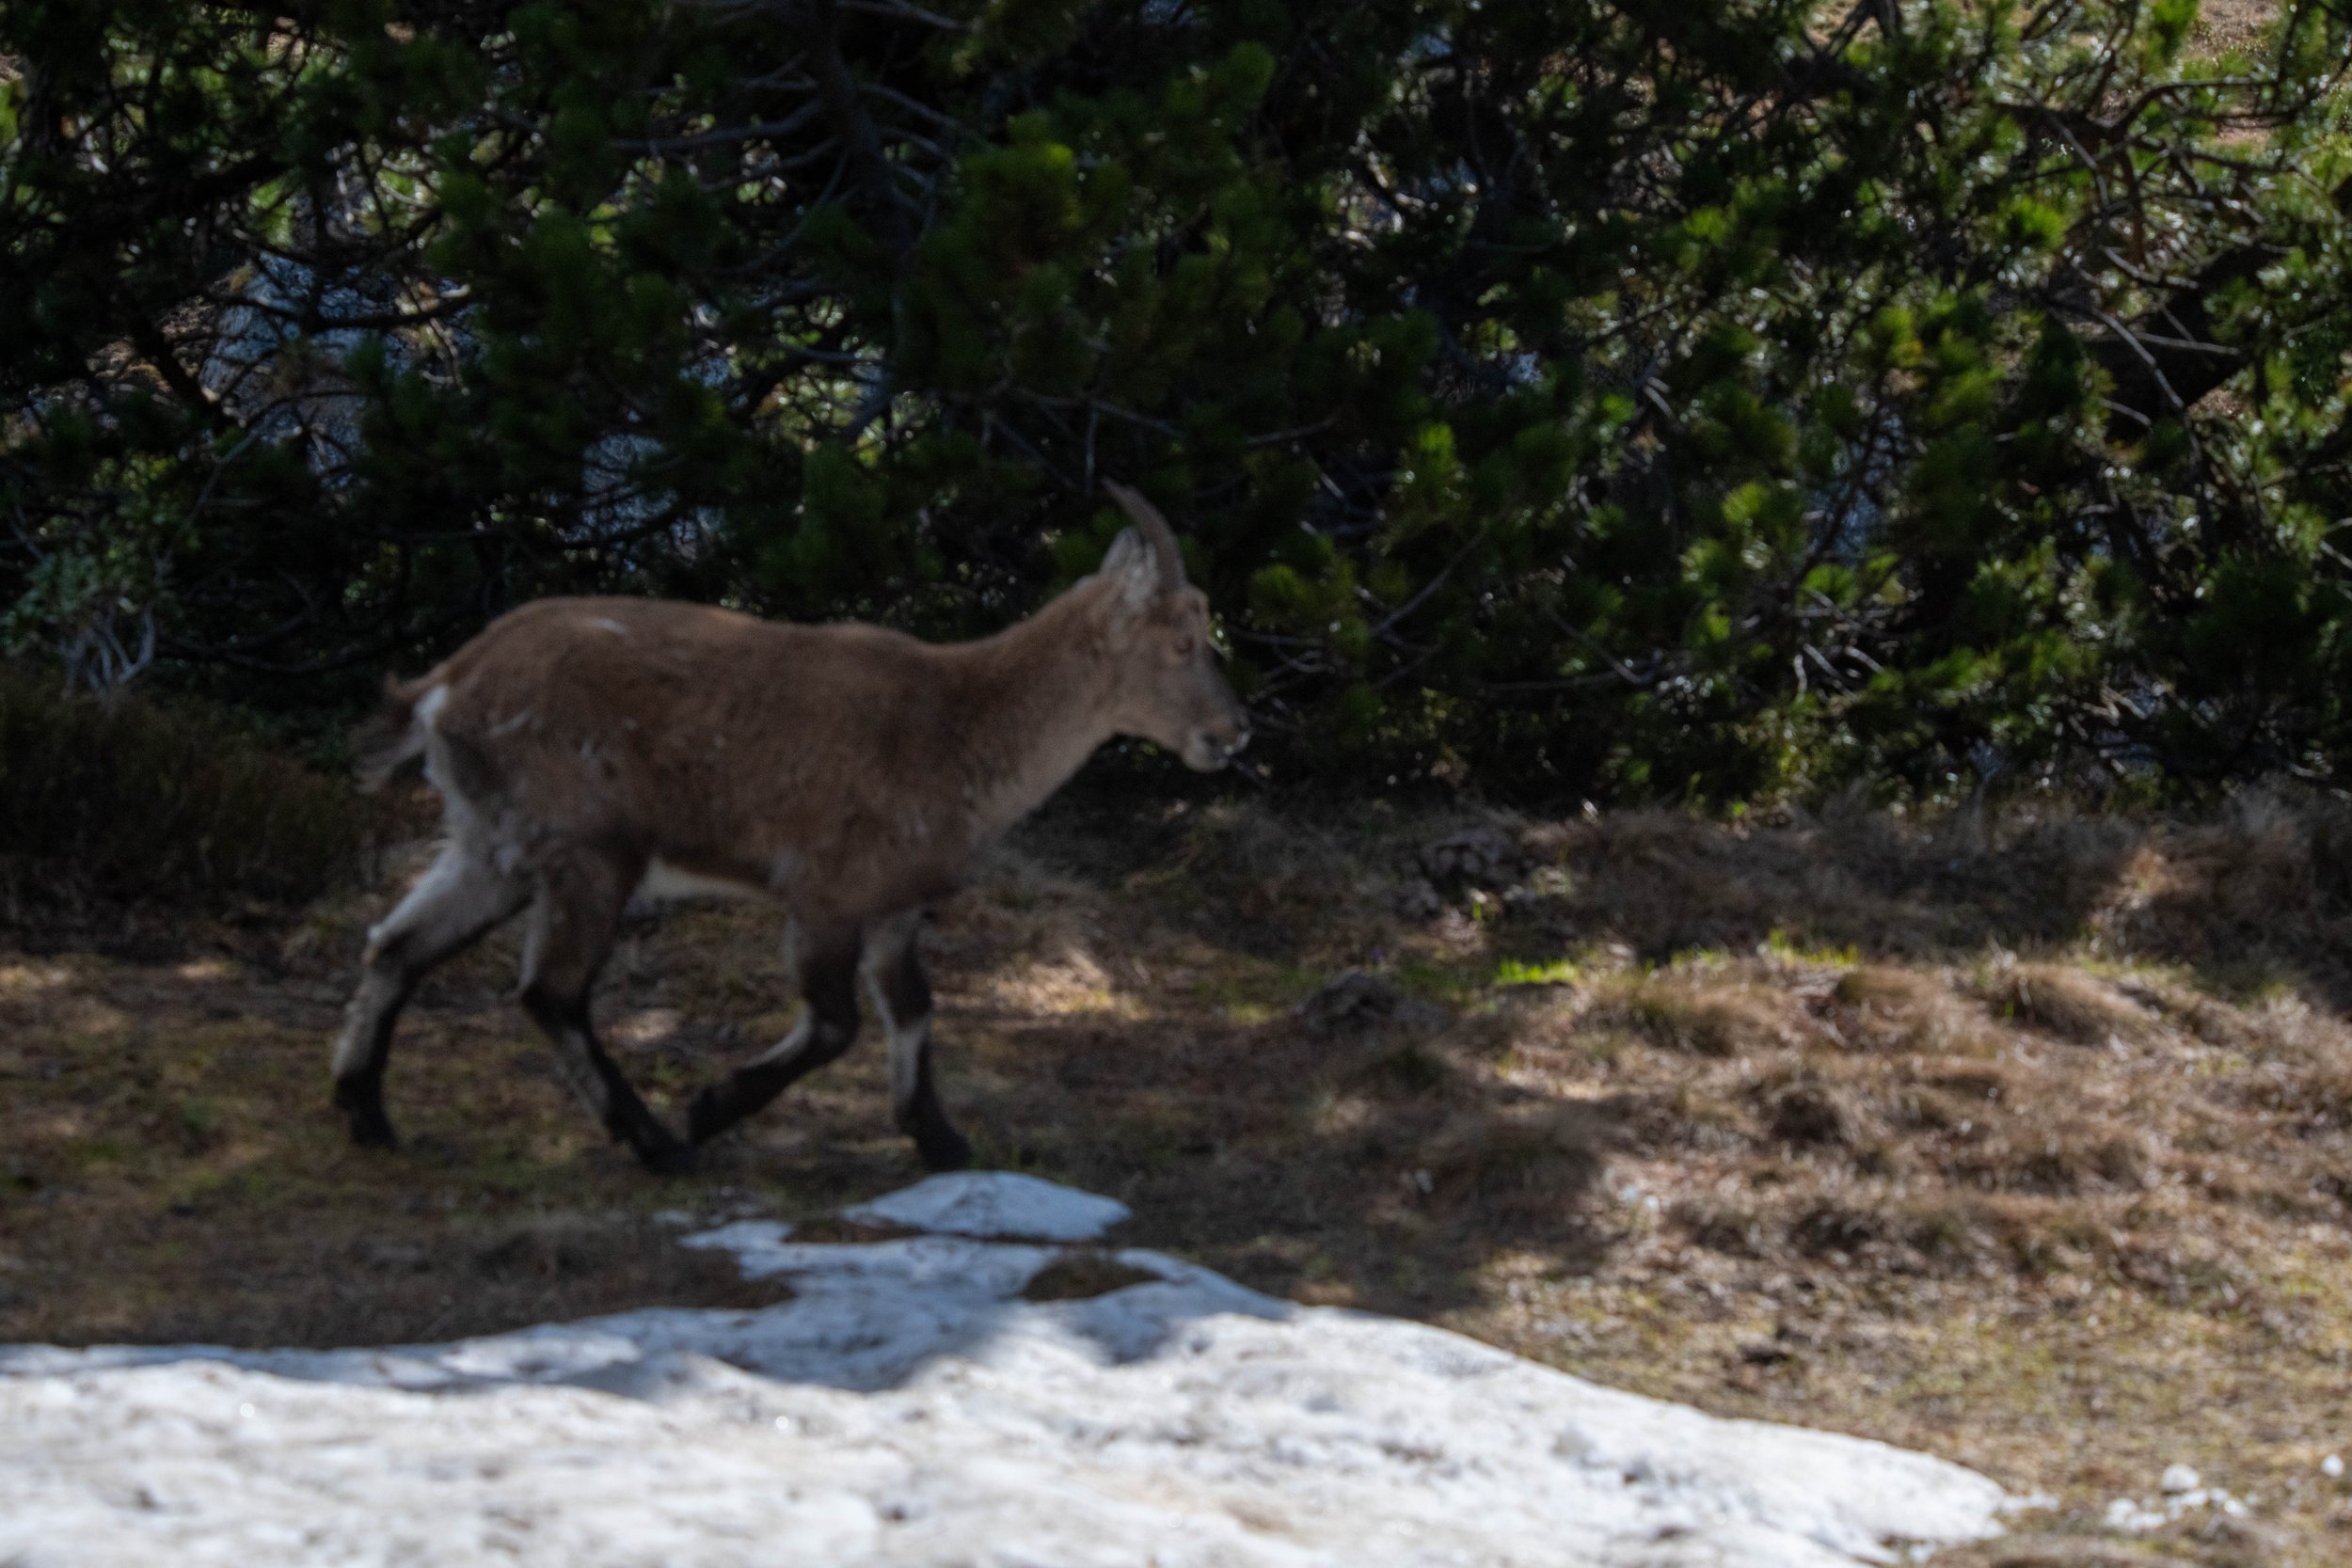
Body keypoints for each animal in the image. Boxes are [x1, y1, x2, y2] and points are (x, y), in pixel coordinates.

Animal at [331, 481, 1250, 1173]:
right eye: (1182, 639)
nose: (1233, 731)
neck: (959, 725)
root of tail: (447, 687)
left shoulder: (892, 901)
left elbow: (913, 1005)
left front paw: (941, 1137)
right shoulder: (824, 892)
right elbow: (836, 1020)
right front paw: (710, 1106)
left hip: (491, 846)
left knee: (395, 946)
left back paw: (366, 1114)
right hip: (589, 850)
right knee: (549, 990)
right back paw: (657, 1143)